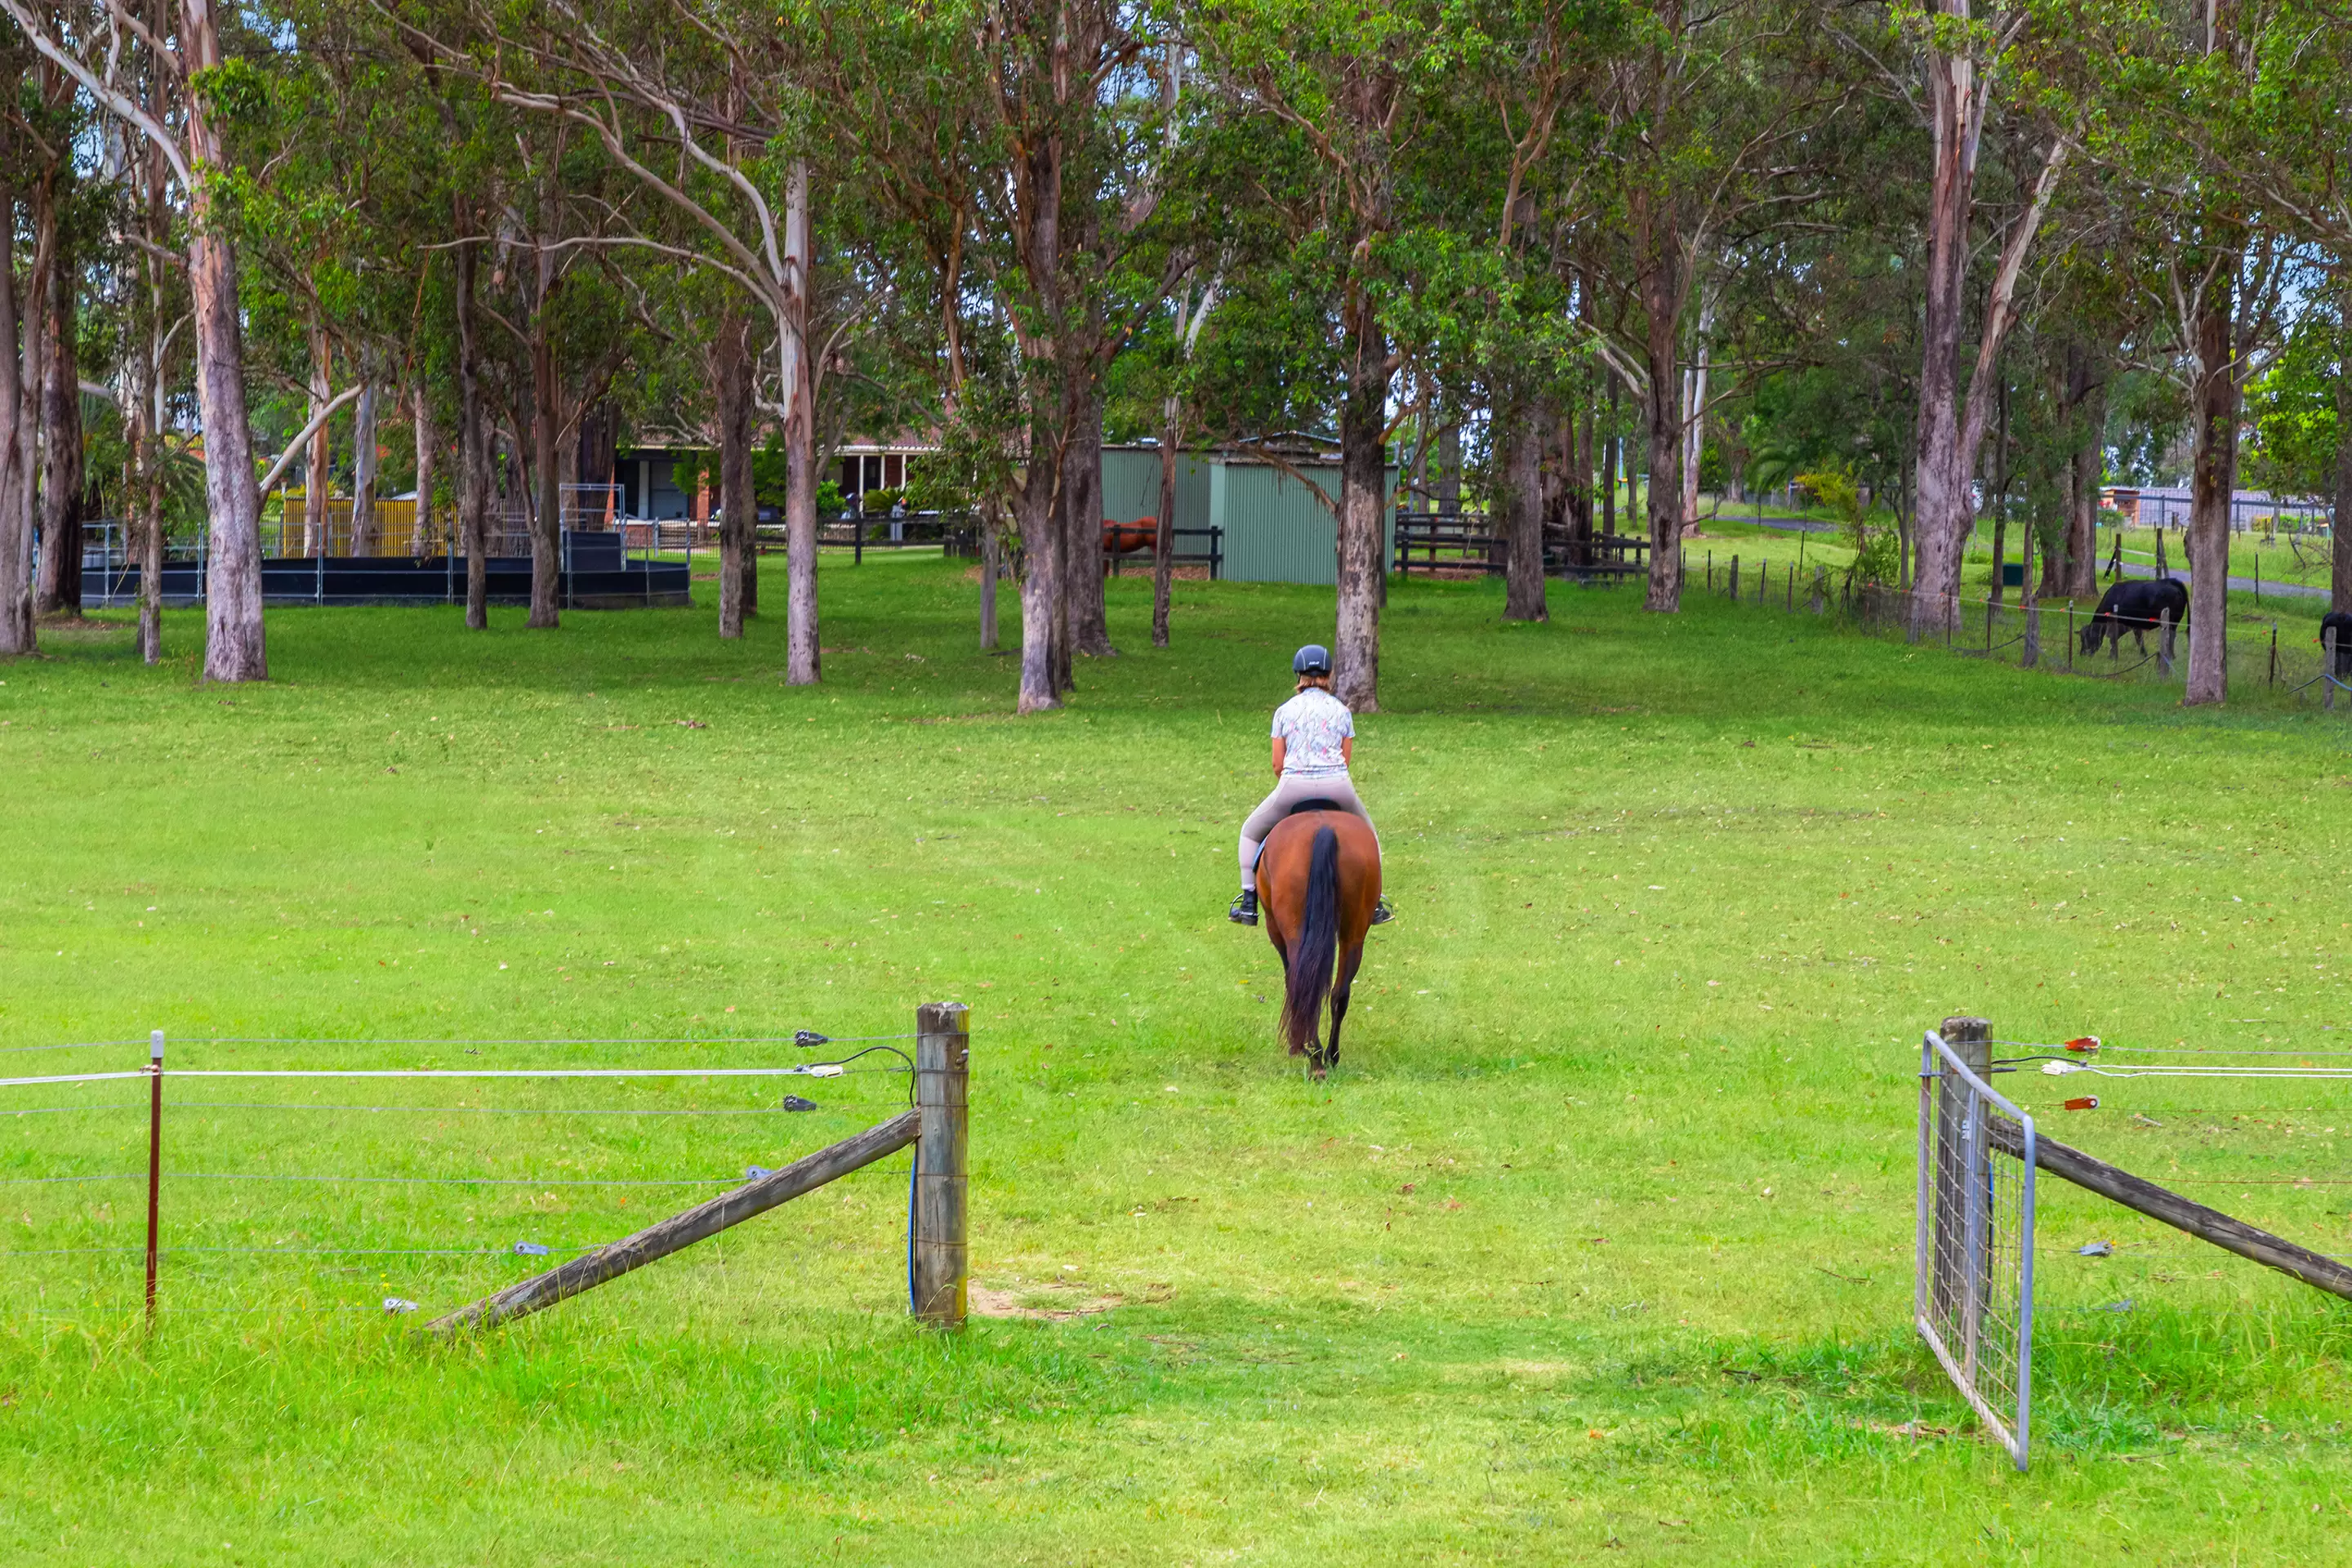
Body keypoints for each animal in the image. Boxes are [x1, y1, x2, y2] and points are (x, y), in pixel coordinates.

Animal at [1251, 808, 1373, 1081]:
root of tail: (1323, 828)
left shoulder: (1275, 930)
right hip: (1354, 934)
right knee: (1338, 992)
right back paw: (1330, 1056)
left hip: (1291, 930)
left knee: (1302, 986)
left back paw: (1314, 1057)